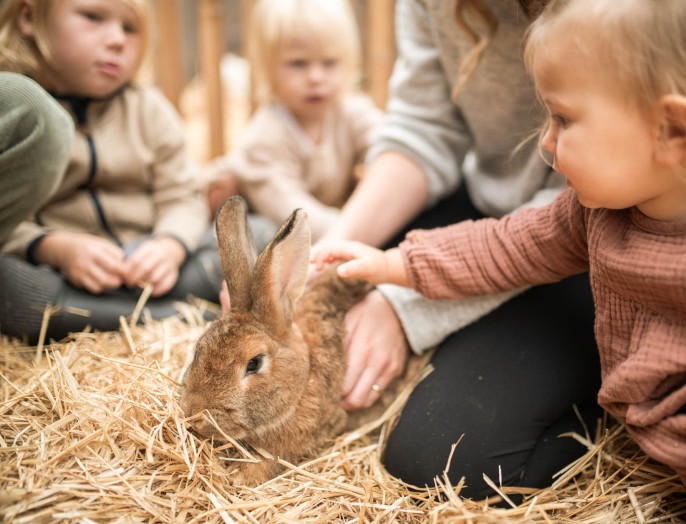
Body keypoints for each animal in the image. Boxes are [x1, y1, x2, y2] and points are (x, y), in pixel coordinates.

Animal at [179, 196, 374, 486]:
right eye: (199, 349)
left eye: (254, 363)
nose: (195, 415)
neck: (304, 378)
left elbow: (270, 462)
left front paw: (240, 477)